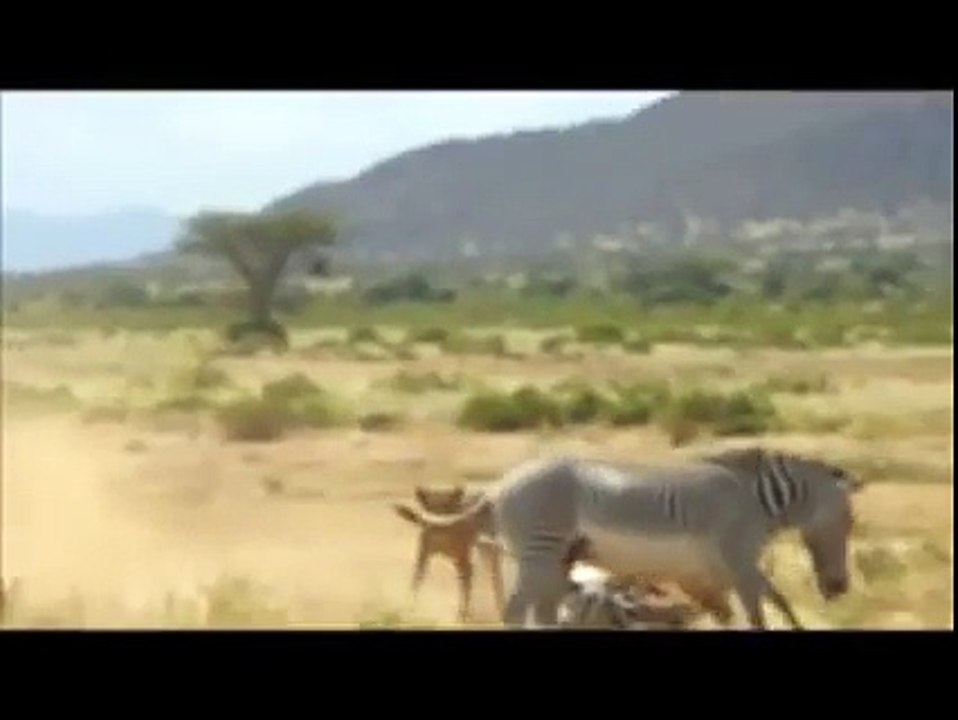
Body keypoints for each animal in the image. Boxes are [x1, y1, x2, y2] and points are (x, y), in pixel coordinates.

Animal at [401, 447, 863, 629]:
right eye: (848, 521)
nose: (839, 588)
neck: (753, 501)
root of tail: (499, 487)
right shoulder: (739, 559)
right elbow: (760, 610)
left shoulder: (726, 568)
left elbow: (770, 602)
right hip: (539, 549)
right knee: (516, 610)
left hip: (555, 556)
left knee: (541, 612)